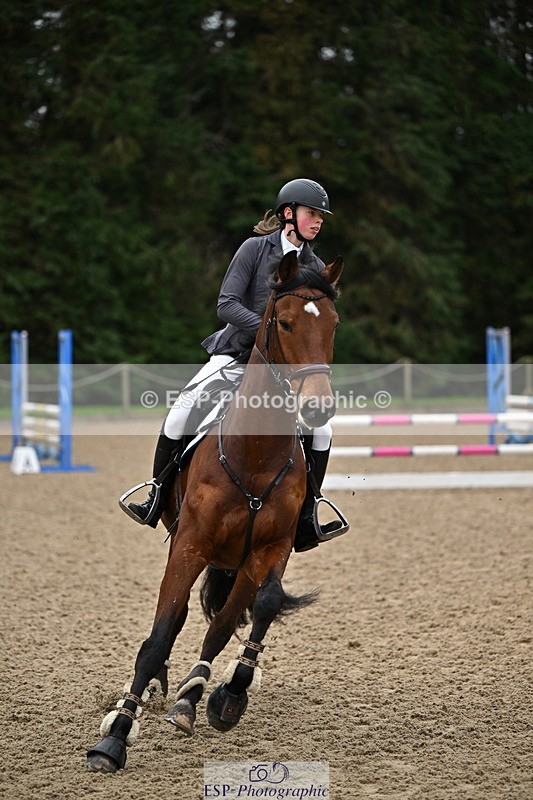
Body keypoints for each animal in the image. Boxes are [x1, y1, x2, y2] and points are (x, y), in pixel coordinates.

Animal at [86, 250, 344, 773]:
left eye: (333, 324)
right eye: (285, 323)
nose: (318, 408)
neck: (255, 454)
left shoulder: (270, 549)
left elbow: (252, 611)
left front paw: (227, 697)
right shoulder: (190, 545)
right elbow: (160, 634)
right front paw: (115, 738)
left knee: (221, 619)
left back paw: (191, 694)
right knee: (177, 615)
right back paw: (159, 688)